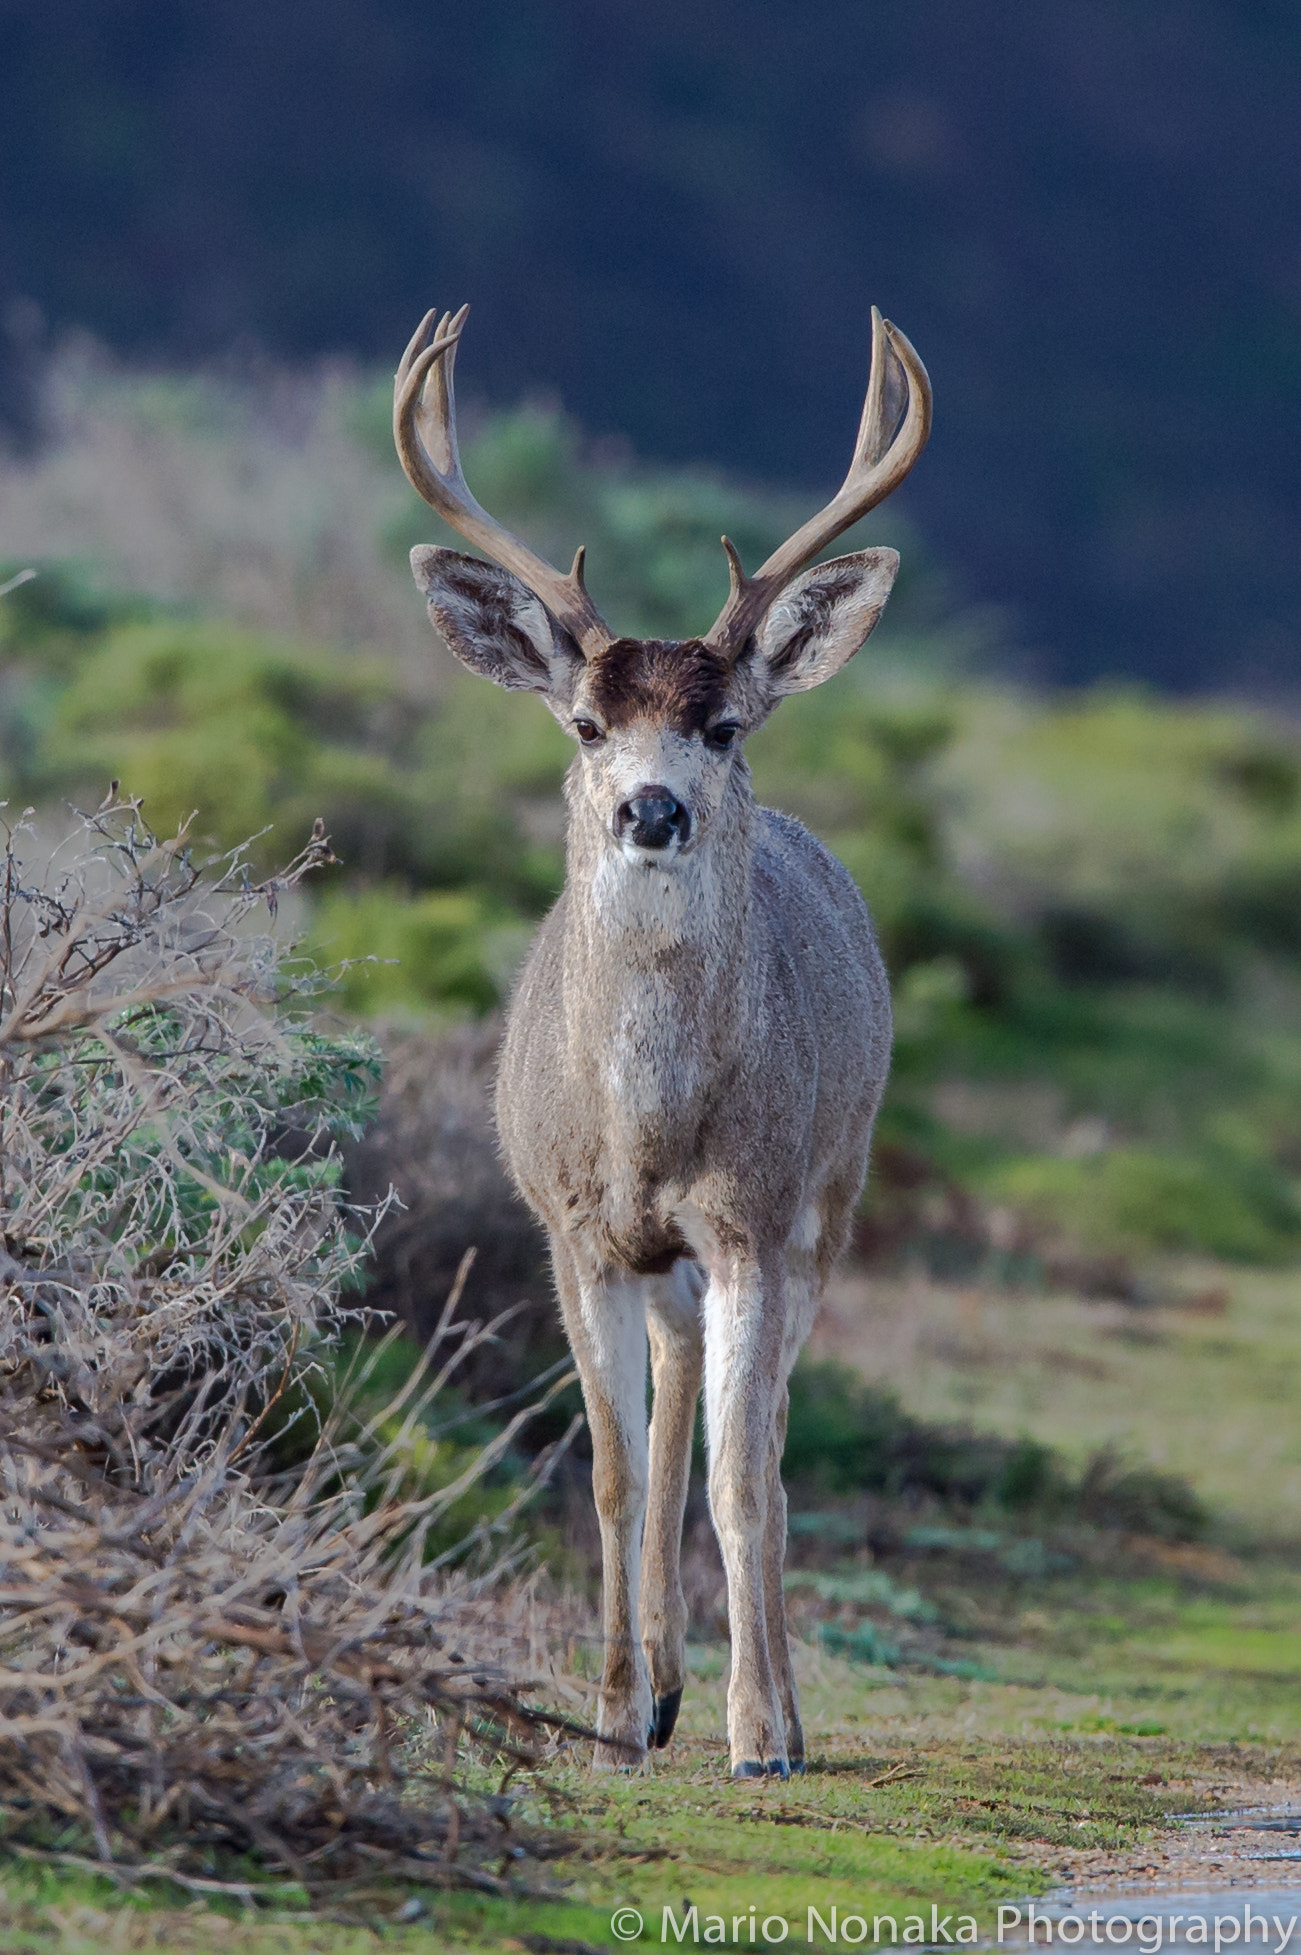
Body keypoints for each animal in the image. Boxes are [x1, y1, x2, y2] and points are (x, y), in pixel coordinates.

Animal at [393, 302, 931, 1779]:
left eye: (722, 721)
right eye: (585, 721)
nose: (649, 807)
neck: (643, 1131)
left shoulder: (751, 1214)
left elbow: (745, 1478)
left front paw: (760, 1733)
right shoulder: (572, 1228)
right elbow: (614, 1469)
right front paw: (610, 1711)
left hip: (830, 1199)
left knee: (767, 1440)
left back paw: (761, 1700)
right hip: (672, 1258)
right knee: (681, 1395)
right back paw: (670, 1687)